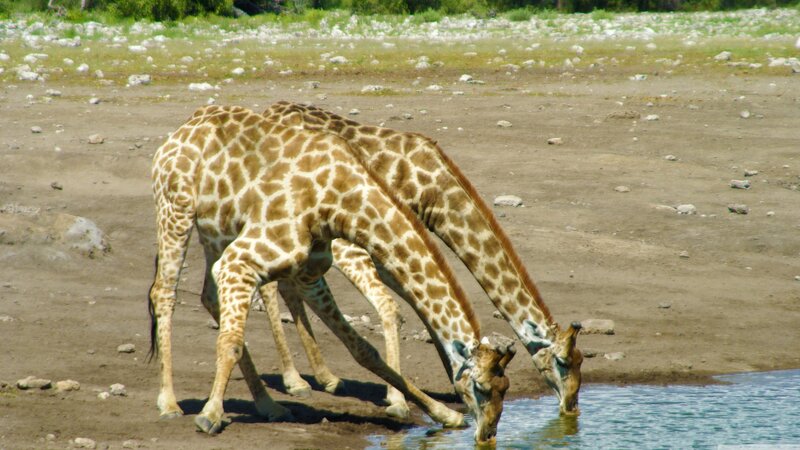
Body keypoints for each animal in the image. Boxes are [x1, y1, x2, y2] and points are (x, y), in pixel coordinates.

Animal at [148, 105, 515, 444]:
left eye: (505, 388)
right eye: (481, 387)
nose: (488, 434)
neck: (341, 200)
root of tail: (179, 132)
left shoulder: (308, 273)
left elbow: (364, 350)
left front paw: (442, 414)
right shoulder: (241, 261)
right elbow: (232, 341)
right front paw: (210, 414)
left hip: (215, 230)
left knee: (208, 297)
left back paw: (269, 405)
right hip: (175, 211)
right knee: (163, 293)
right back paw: (169, 403)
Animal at [257, 101, 583, 416]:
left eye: (581, 361)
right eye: (563, 362)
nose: (571, 406)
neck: (434, 192)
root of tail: (270, 110)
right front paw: (398, 398)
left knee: (286, 284)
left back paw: (325, 377)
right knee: (271, 285)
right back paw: (295, 381)